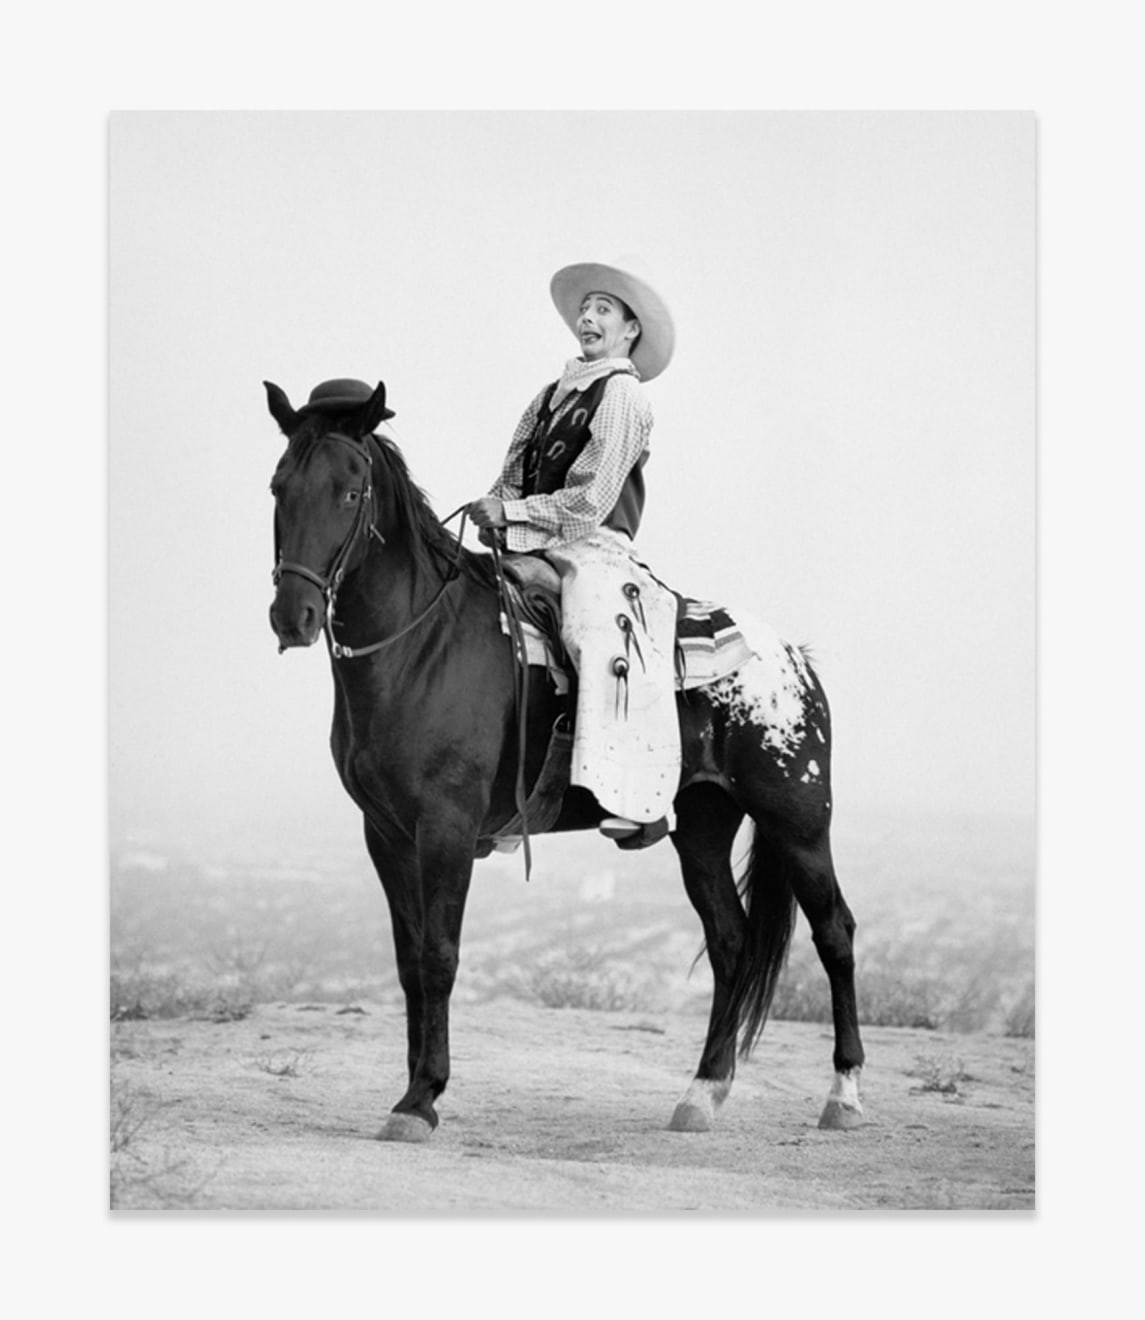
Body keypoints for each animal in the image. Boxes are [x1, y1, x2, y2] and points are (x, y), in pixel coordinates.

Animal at [264, 377, 866, 1140]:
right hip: (703, 826)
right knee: (730, 942)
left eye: (349, 491)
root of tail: (791, 659)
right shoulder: (387, 833)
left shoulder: (446, 829)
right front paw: (411, 1090)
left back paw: (844, 1095)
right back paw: (701, 1093)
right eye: (279, 487)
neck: (420, 645)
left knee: (834, 933)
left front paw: (422, 1097)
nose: (294, 616)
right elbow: (407, 961)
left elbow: (439, 956)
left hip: (797, 821)